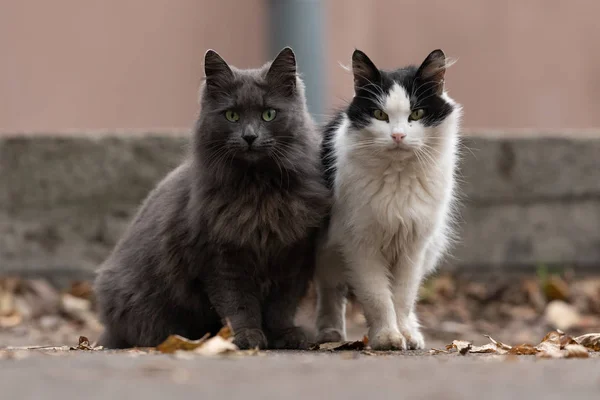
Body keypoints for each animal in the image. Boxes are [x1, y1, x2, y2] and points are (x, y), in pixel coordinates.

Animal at [94, 47, 328, 350]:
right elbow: (238, 306)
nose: (249, 136)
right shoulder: (221, 260)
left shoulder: (293, 258)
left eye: (268, 114)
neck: (258, 193)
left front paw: (286, 336)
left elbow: (281, 307)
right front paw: (247, 337)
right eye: (231, 115)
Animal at [316, 50, 462, 350]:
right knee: (331, 289)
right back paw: (330, 333)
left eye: (416, 114)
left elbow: (403, 297)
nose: (398, 135)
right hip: (327, 252)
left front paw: (405, 334)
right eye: (379, 115)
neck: (398, 177)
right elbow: (378, 297)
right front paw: (387, 337)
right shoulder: (360, 244)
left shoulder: (413, 245)